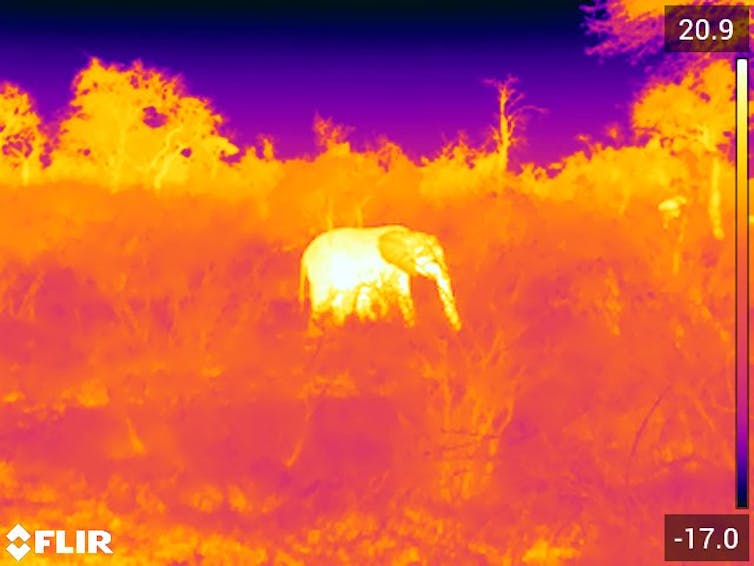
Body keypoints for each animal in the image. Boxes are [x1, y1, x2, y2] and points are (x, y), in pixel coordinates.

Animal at [299, 225, 461, 331]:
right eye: (429, 259)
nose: (458, 330)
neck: (408, 235)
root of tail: (305, 255)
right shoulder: (393, 266)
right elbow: (402, 293)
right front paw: (412, 329)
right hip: (322, 274)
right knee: (321, 304)